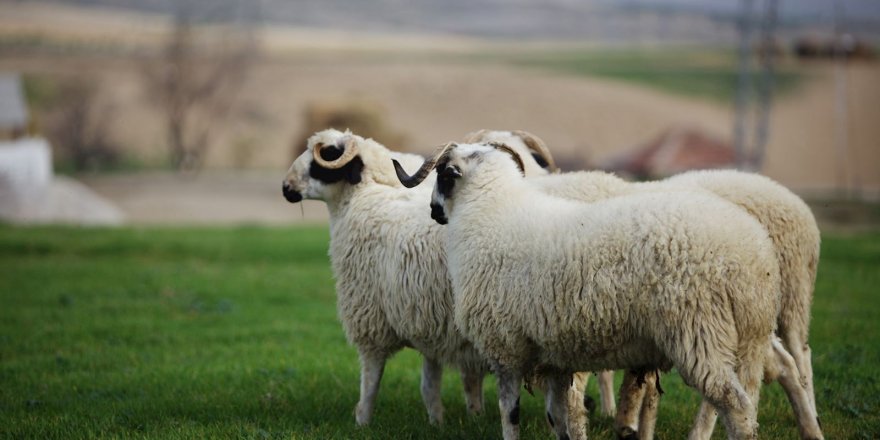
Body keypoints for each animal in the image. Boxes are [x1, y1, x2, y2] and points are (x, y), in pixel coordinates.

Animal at [280, 128, 556, 426]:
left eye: (326, 155)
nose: (286, 187)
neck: (369, 195)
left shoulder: (371, 317)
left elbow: (371, 379)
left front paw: (362, 422)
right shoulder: (430, 320)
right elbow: (432, 383)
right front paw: (441, 422)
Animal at [396, 142, 780, 440]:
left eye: (442, 174)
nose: (434, 212)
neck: (490, 214)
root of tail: (753, 255)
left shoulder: (506, 347)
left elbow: (511, 414)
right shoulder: (551, 355)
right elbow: (558, 418)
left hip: (700, 331)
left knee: (735, 407)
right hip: (749, 340)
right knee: (747, 401)